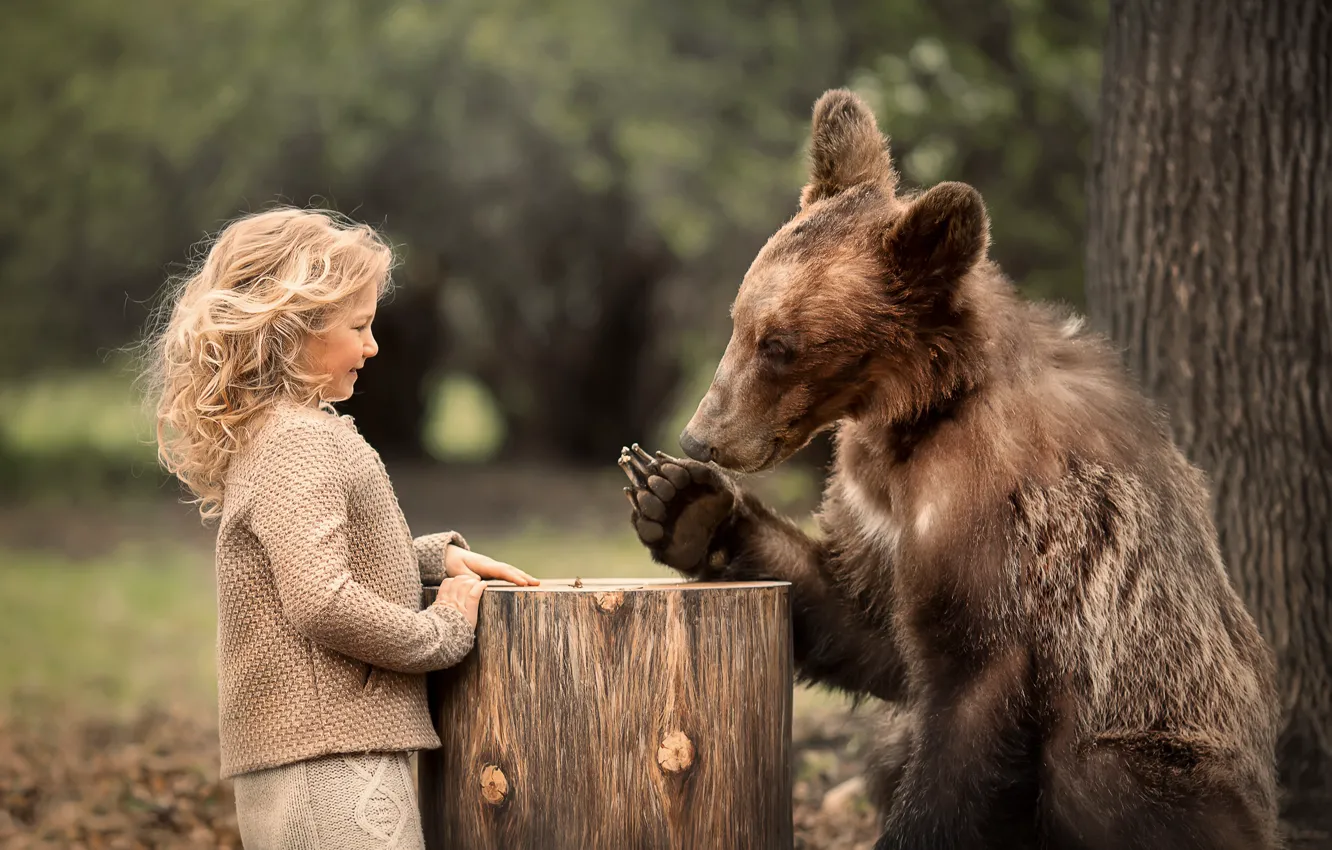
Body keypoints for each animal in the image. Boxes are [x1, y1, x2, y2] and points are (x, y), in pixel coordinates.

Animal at [618, 89, 1284, 847]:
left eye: (780, 344)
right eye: (740, 321)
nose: (701, 437)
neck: (915, 414)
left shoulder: (1001, 527)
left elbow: (968, 696)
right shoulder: (880, 515)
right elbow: (865, 618)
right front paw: (682, 503)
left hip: (1169, 739)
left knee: (1102, 774)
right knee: (888, 749)